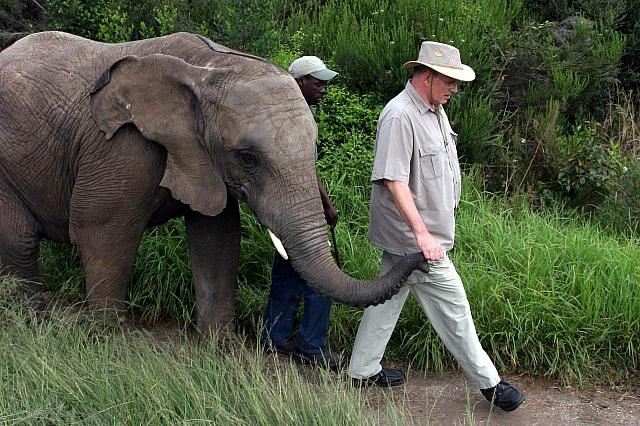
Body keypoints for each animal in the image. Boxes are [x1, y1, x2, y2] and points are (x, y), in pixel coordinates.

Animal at [0, 31, 427, 333]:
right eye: (247, 158)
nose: (424, 254)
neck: (209, 66)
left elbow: (217, 239)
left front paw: (219, 351)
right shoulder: (121, 147)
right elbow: (101, 233)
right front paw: (106, 342)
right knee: (19, 240)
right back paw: (33, 323)